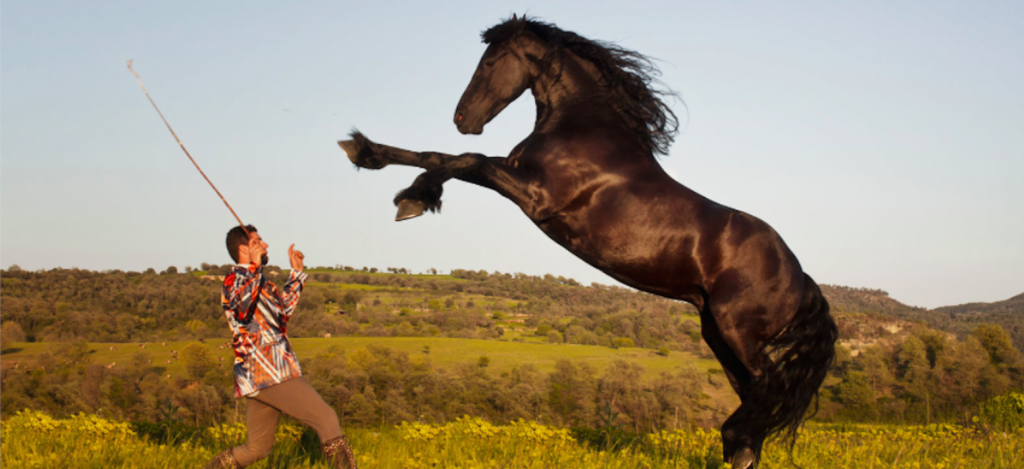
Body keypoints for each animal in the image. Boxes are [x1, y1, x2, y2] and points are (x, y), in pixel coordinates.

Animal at [339, 16, 835, 466]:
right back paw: (739, 449)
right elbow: (443, 156)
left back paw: (732, 435)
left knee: (767, 387)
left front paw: (410, 196)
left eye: (491, 61)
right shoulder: (518, 180)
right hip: (717, 331)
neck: (583, 129)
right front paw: (369, 155)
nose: (463, 118)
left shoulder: (533, 195)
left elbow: (460, 157)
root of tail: (802, 278)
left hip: (738, 331)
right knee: (755, 396)